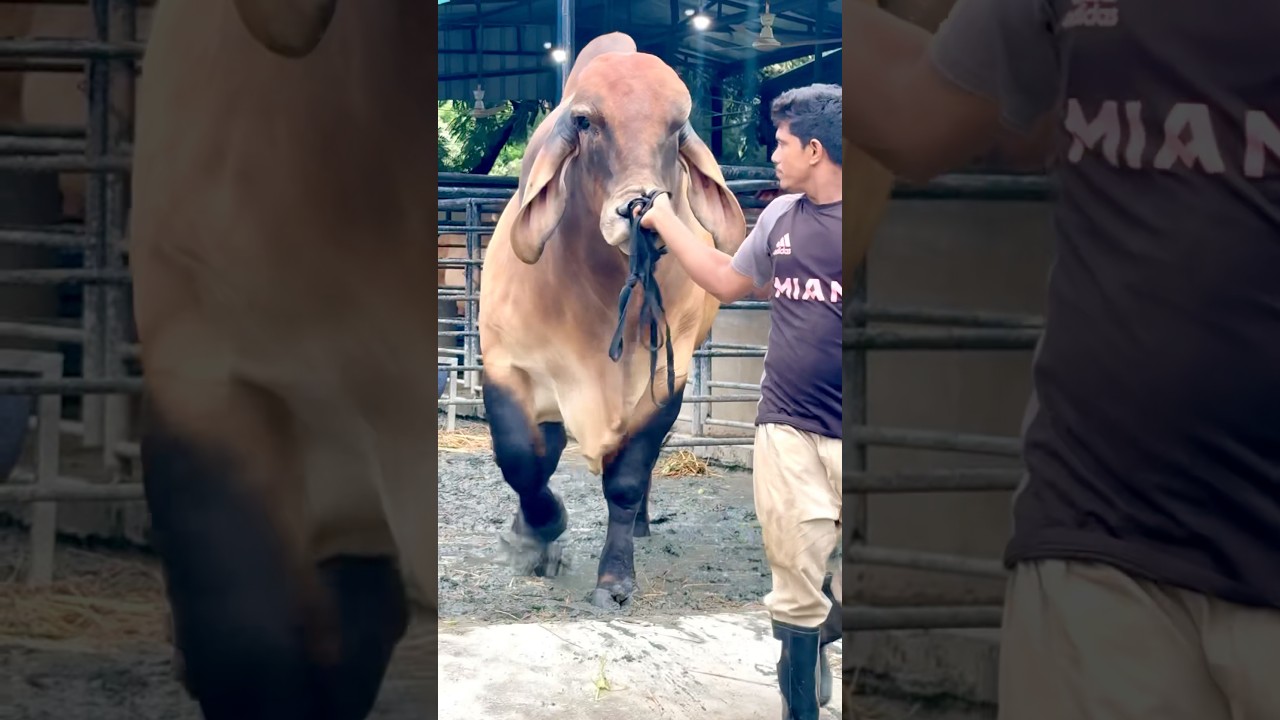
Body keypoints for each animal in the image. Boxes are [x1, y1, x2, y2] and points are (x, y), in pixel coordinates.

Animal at [477, 32, 748, 611]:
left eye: (677, 126)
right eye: (584, 121)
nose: (636, 208)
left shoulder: (666, 380)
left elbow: (625, 478)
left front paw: (615, 579)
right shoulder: (508, 365)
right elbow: (523, 460)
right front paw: (535, 534)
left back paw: (641, 524)